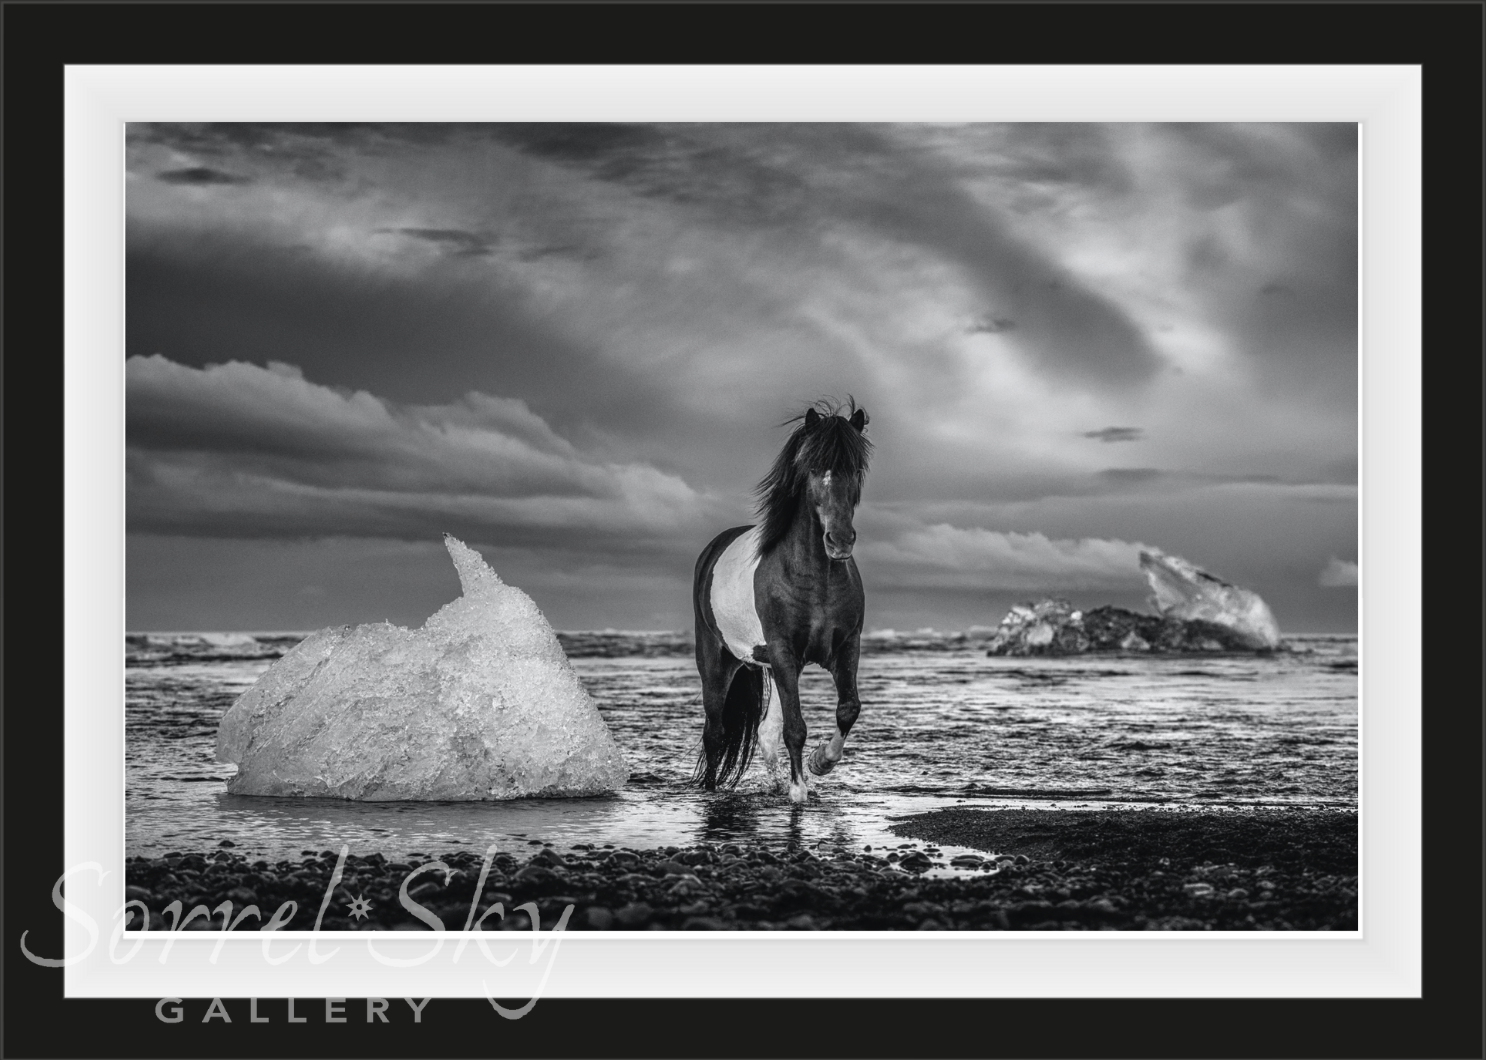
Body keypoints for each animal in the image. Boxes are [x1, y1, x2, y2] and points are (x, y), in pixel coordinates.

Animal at [692, 401, 867, 808]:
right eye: (814, 468)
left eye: (856, 468)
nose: (839, 540)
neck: (815, 578)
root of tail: (712, 550)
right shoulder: (786, 652)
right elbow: (796, 728)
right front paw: (799, 790)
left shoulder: (846, 646)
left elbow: (848, 709)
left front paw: (820, 764)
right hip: (716, 662)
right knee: (715, 732)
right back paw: (711, 789)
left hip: (770, 665)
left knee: (763, 733)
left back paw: (775, 784)